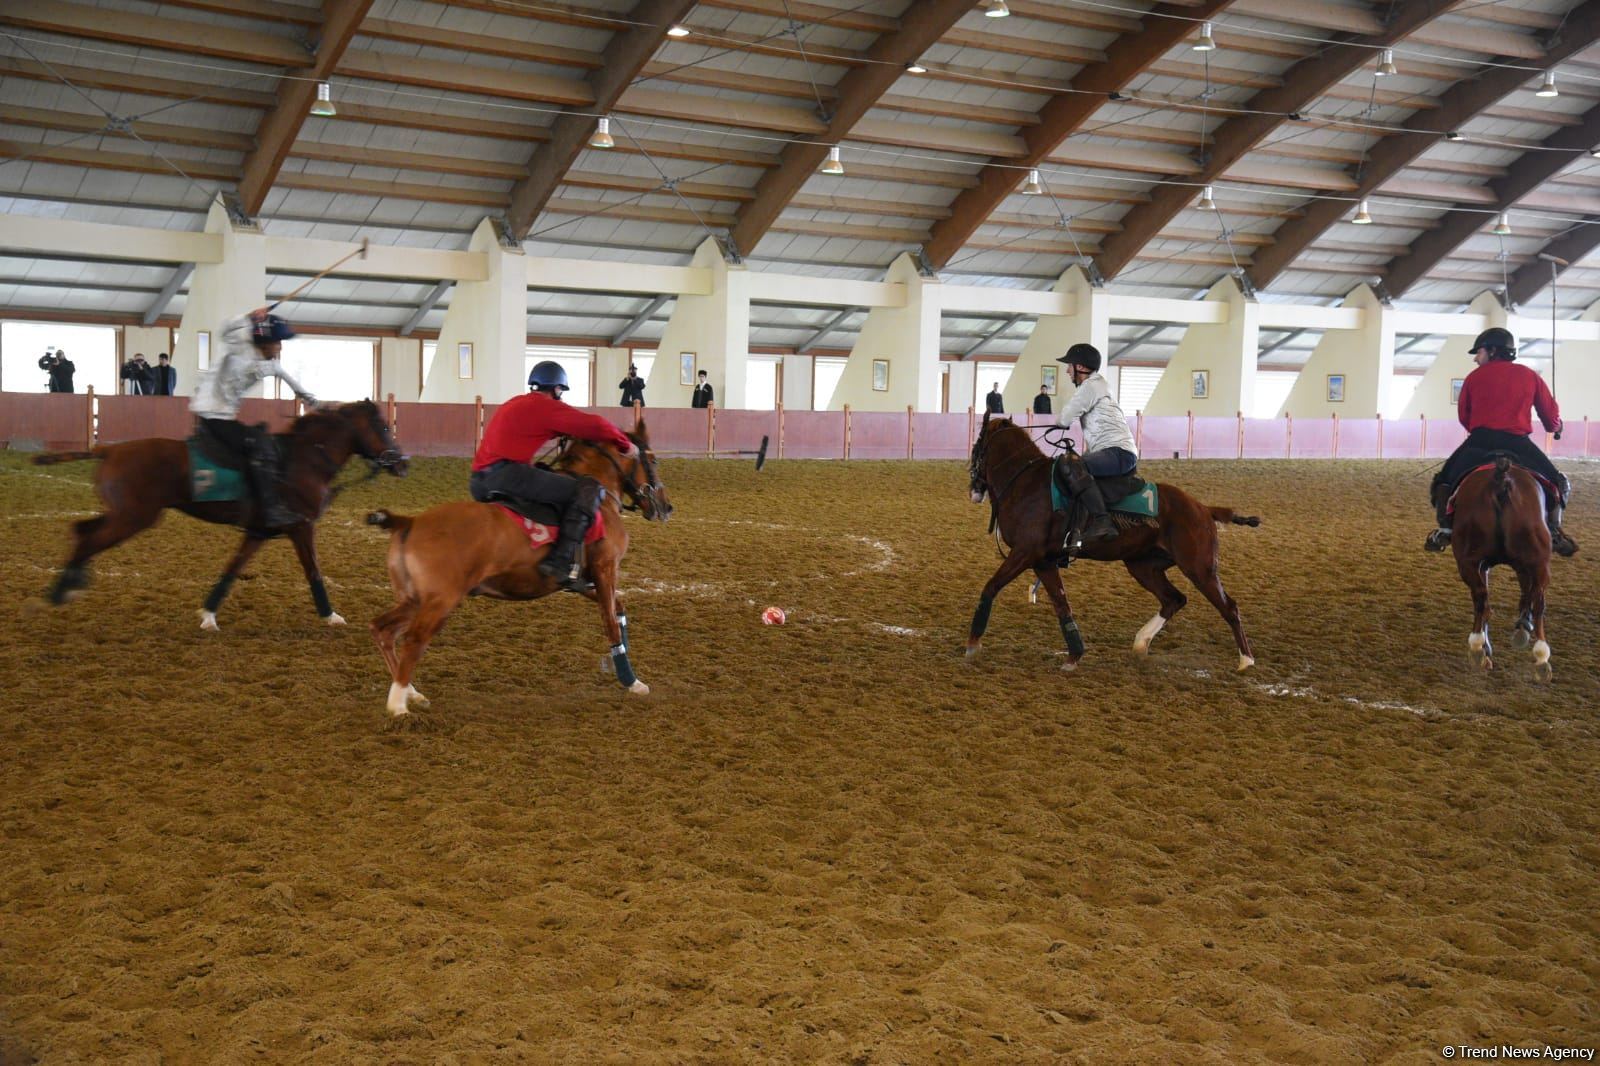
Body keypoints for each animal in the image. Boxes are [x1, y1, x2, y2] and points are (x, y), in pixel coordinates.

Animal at [34, 403, 406, 627]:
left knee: (82, 529)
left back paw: (69, 584)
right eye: (384, 428)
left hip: (123, 514)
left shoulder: (259, 532)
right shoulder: (301, 527)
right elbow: (313, 571)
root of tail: (109, 450)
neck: (306, 460)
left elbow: (233, 568)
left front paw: (209, 614)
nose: (403, 462)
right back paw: (59, 593)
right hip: (133, 517)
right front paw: (331, 616)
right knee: (88, 539)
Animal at [366, 416, 668, 713]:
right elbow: (611, 622)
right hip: (440, 602)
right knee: (413, 640)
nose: (666, 507)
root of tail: (410, 522)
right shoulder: (606, 569)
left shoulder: (585, 581)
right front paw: (632, 681)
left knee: (384, 630)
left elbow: (618, 609)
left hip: (414, 599)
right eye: (653, 460)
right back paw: (398, 706)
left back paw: (411, 693)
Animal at [966, 412, 1254, 669]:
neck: (1025, 483)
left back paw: (1246, 661)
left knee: (1229, 607)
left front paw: (973, 644)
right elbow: (1062, 605)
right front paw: (1074, 654)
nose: (973, 489)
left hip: (1200, 569)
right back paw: (1141, 643)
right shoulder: (1043, 561)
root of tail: (1204, 508)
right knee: (1174, 599)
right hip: (1143, 566)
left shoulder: (1025, 552)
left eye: (977, 445)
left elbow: (990, 587)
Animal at [1452, 451, 1548, 675]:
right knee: (1538, 598)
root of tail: (1501, 481)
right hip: (1538, 560)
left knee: (1481, 598)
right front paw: (1523, 624)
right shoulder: (1522, 564)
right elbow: (1528, 591)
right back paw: (1541, 655)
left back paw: (1478, 647)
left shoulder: (1482, 564)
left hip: (1468, 562)